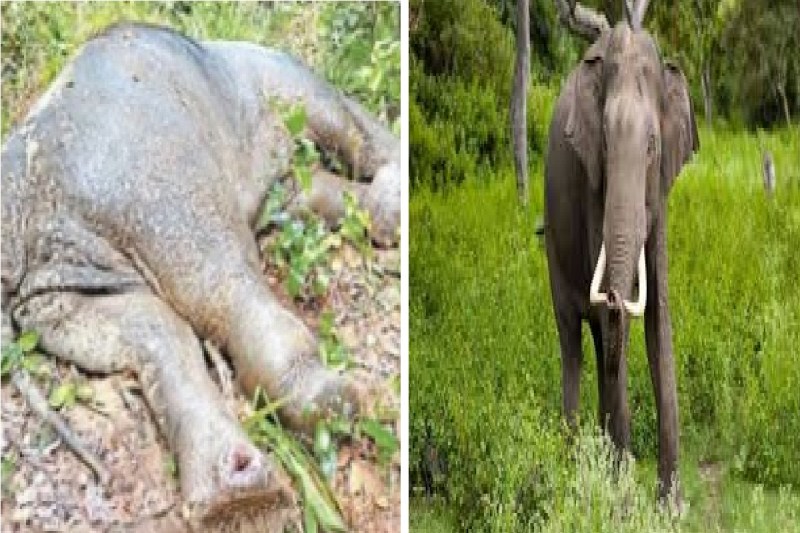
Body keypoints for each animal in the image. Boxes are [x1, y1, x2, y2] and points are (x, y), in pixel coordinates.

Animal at [544, 2, 698, 501]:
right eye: (607, 145)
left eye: (652, 147)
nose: (614, 294)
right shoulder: (591, 181)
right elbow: (619, 328)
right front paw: (621, 499)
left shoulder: (662, 189)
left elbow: (659, 311)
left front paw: (670, 505)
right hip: (553, 243)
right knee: (572, 339)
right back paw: (571, 462)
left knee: (596, 339)